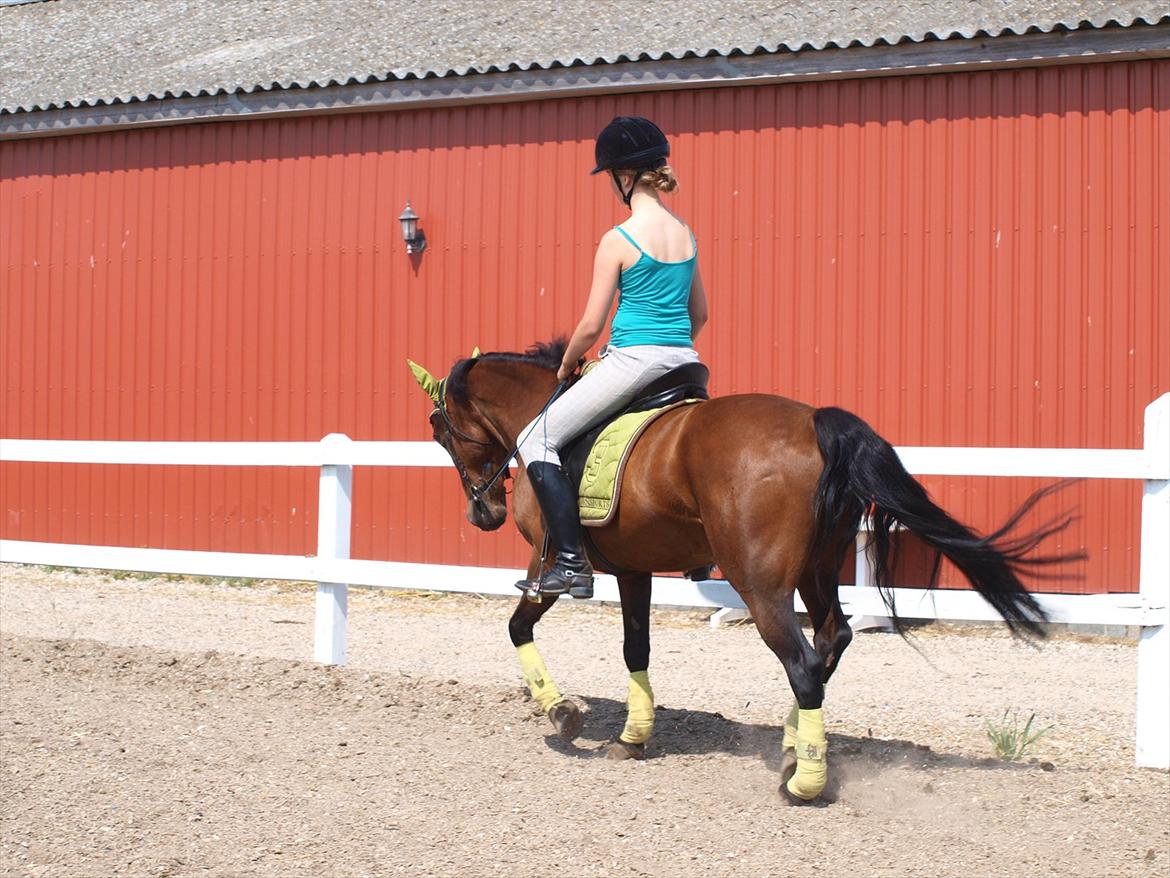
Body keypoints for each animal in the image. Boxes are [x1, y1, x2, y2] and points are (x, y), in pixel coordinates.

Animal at [407, 341, 1071, 805]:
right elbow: (635, 649)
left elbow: (518, 627)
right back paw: (795, 749)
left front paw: (560, 712)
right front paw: (633, 737)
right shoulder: (634, 571)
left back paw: (803, 783)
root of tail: (815, 422)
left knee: (802, 661)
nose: (484, 513)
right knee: (830, 641)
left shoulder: (546, 562)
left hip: (761, 584)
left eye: (441, 433)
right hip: (816, 569)